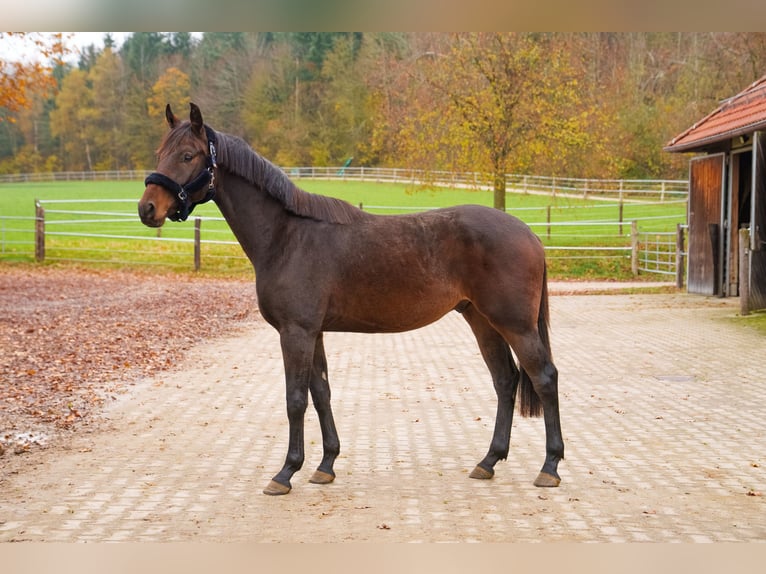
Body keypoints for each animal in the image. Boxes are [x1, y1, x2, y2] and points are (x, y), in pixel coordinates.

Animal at [140, 102, 564, 496]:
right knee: (505, 381)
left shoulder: (296, 333)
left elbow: (296, 399)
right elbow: (322, 393)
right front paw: (325, 465)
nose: (147, 208)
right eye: (161, 151)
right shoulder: (314, 333)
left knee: (543, 377)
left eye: (188, 155)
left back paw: (550, 467)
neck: (287, 236)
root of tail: (529, 233)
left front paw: (285, 472)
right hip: (482, 320)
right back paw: (488, 461)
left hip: (515, 325)